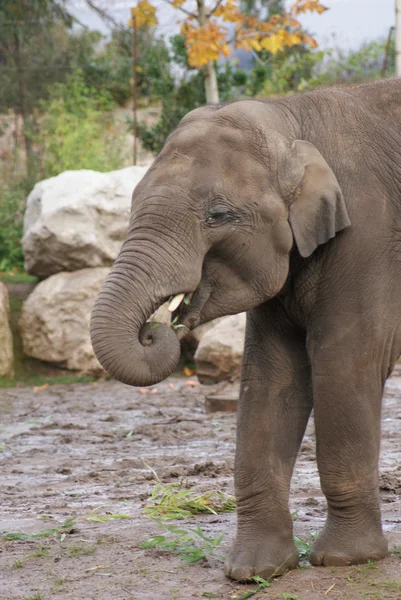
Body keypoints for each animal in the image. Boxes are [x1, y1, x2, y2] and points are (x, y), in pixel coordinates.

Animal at [89, 78, 400, 580]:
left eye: (218, 215)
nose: (158, 329)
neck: (293, 119)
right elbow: (272, 376)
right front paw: (255, 570)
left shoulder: (370, 234)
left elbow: (344, 363)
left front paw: (345, 560)